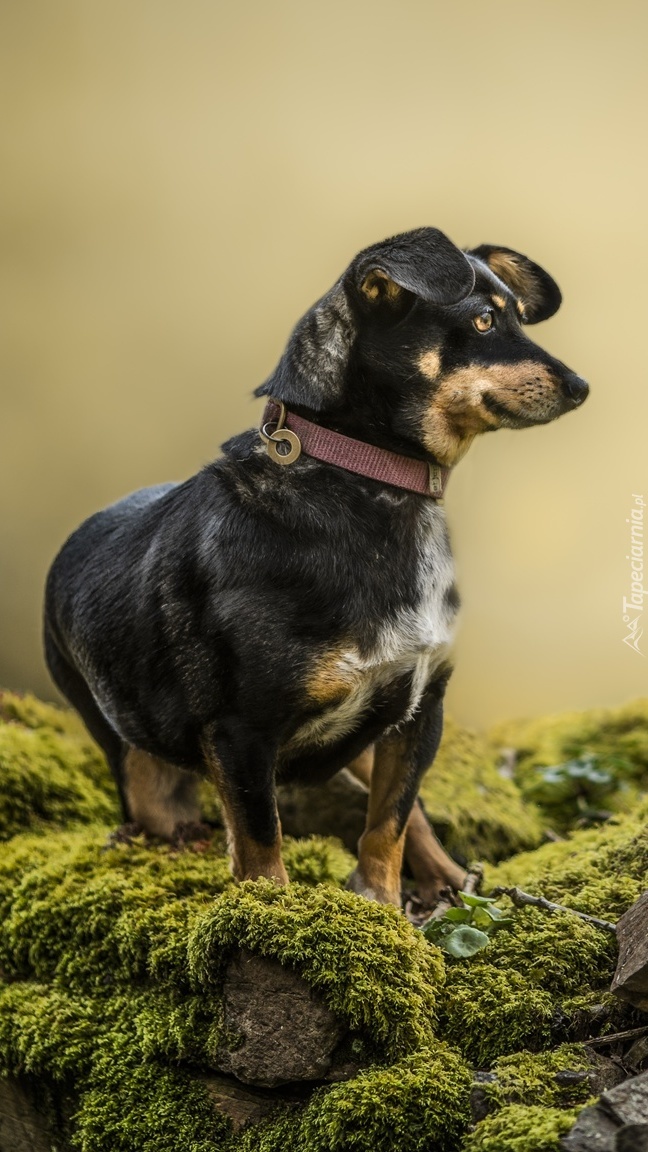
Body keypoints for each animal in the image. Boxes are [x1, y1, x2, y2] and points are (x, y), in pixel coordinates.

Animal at [42, 224, 588, 907]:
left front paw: (380, 906)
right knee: (155, 816)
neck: (368, 480)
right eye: (483, 320)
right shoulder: (241, 731)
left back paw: (451, 878)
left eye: (516, 313)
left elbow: (390, 823)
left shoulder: (420, 709)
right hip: (142, 767)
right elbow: (259, 841)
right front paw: (273, 912)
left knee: (411, 815)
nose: (581, 386)